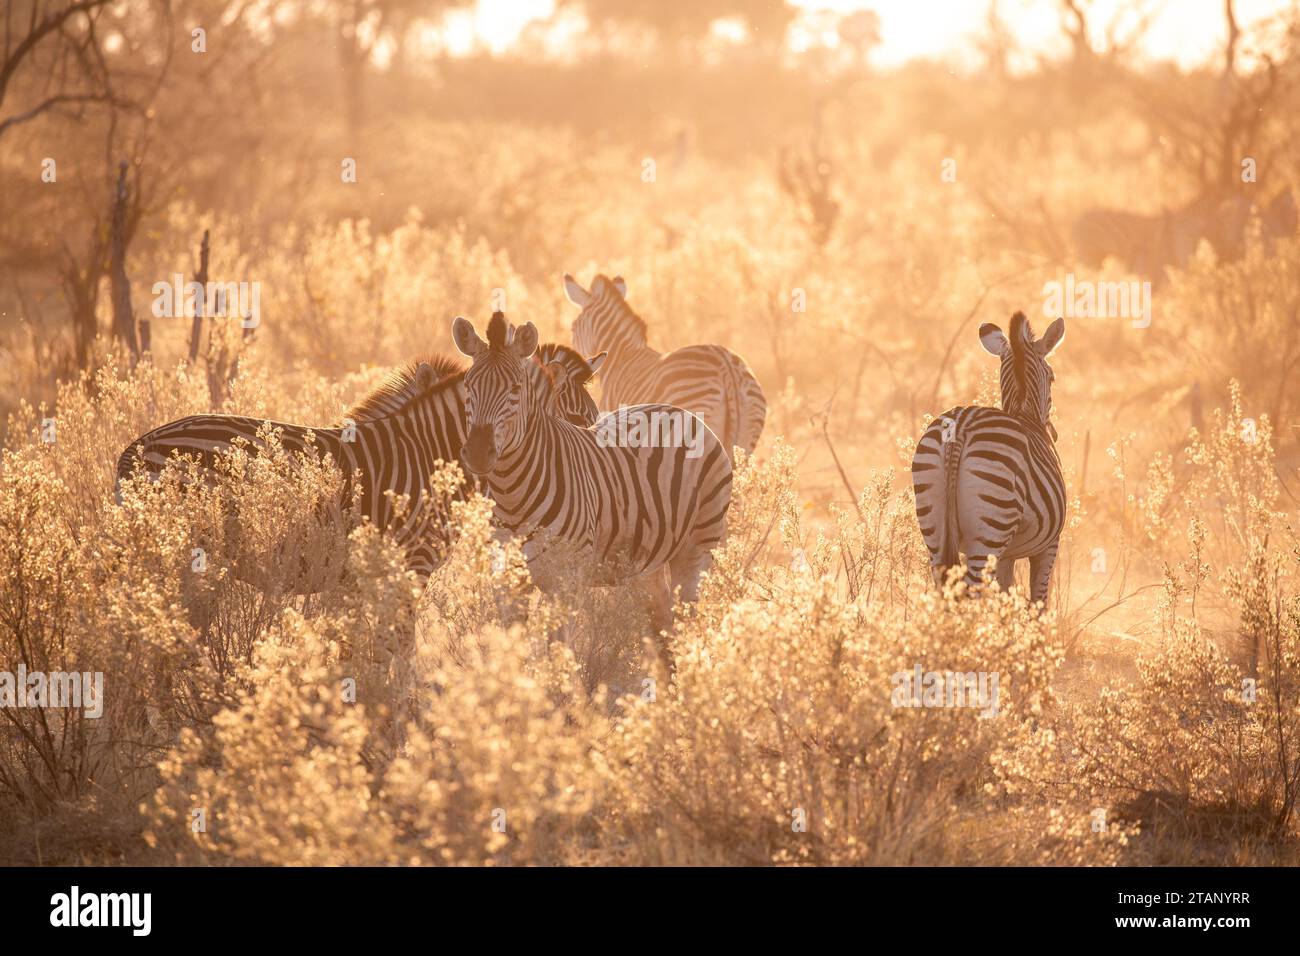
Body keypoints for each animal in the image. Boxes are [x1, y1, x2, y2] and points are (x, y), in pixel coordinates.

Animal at [451, 311, 732, 618]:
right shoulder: (507, 583)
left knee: (687, 618)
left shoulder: (567, 582)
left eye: (516, 388)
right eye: (468, 386)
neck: (512, 494)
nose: (478, 453)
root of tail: (682, 412)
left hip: (698, 547)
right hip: (649, 561)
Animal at [910, 312, 1067, 606]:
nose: (1053, 433)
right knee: (971, 595)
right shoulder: (1049, 545)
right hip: (990, 531)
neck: (1024, 412)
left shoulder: (1007, 555)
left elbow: (1005, 596)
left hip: (934, 529)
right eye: (1052, 377)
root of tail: (960, 427)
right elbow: (1038, 602)